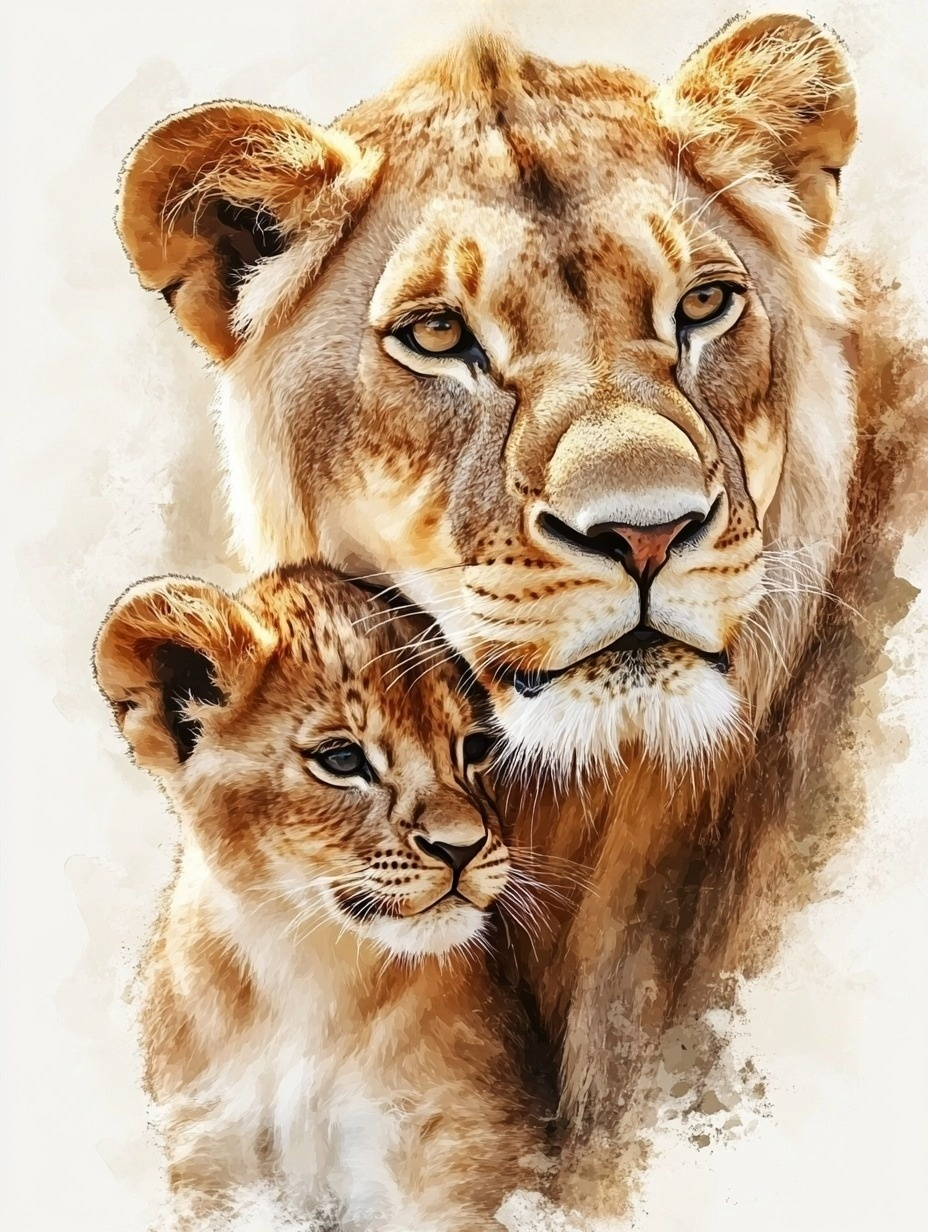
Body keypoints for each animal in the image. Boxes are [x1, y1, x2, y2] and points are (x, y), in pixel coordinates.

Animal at [94, 563, 554, 1230]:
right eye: (341, 759)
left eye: (474, 749)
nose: (463, 847)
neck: (305, 975)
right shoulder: (205, 1144)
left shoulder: (467, 1142)